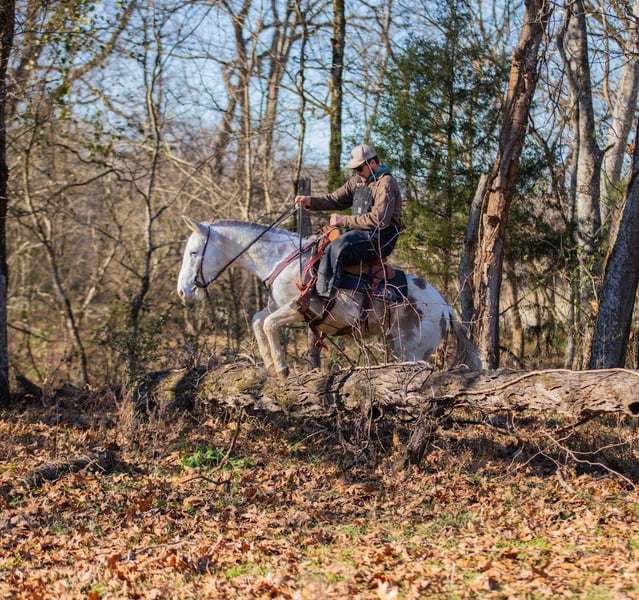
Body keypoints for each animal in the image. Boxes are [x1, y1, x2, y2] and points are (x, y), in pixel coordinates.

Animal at [176, 215, 481, 377]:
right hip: (398, 348)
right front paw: (270, 363)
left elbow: (268, 324)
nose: (183, 291)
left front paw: (282, 367)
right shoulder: (276, 306)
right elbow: (257, 321)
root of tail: (444, 307)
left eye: (193, 252)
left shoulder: (296, 308)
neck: (283, 259)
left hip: (410, 351)